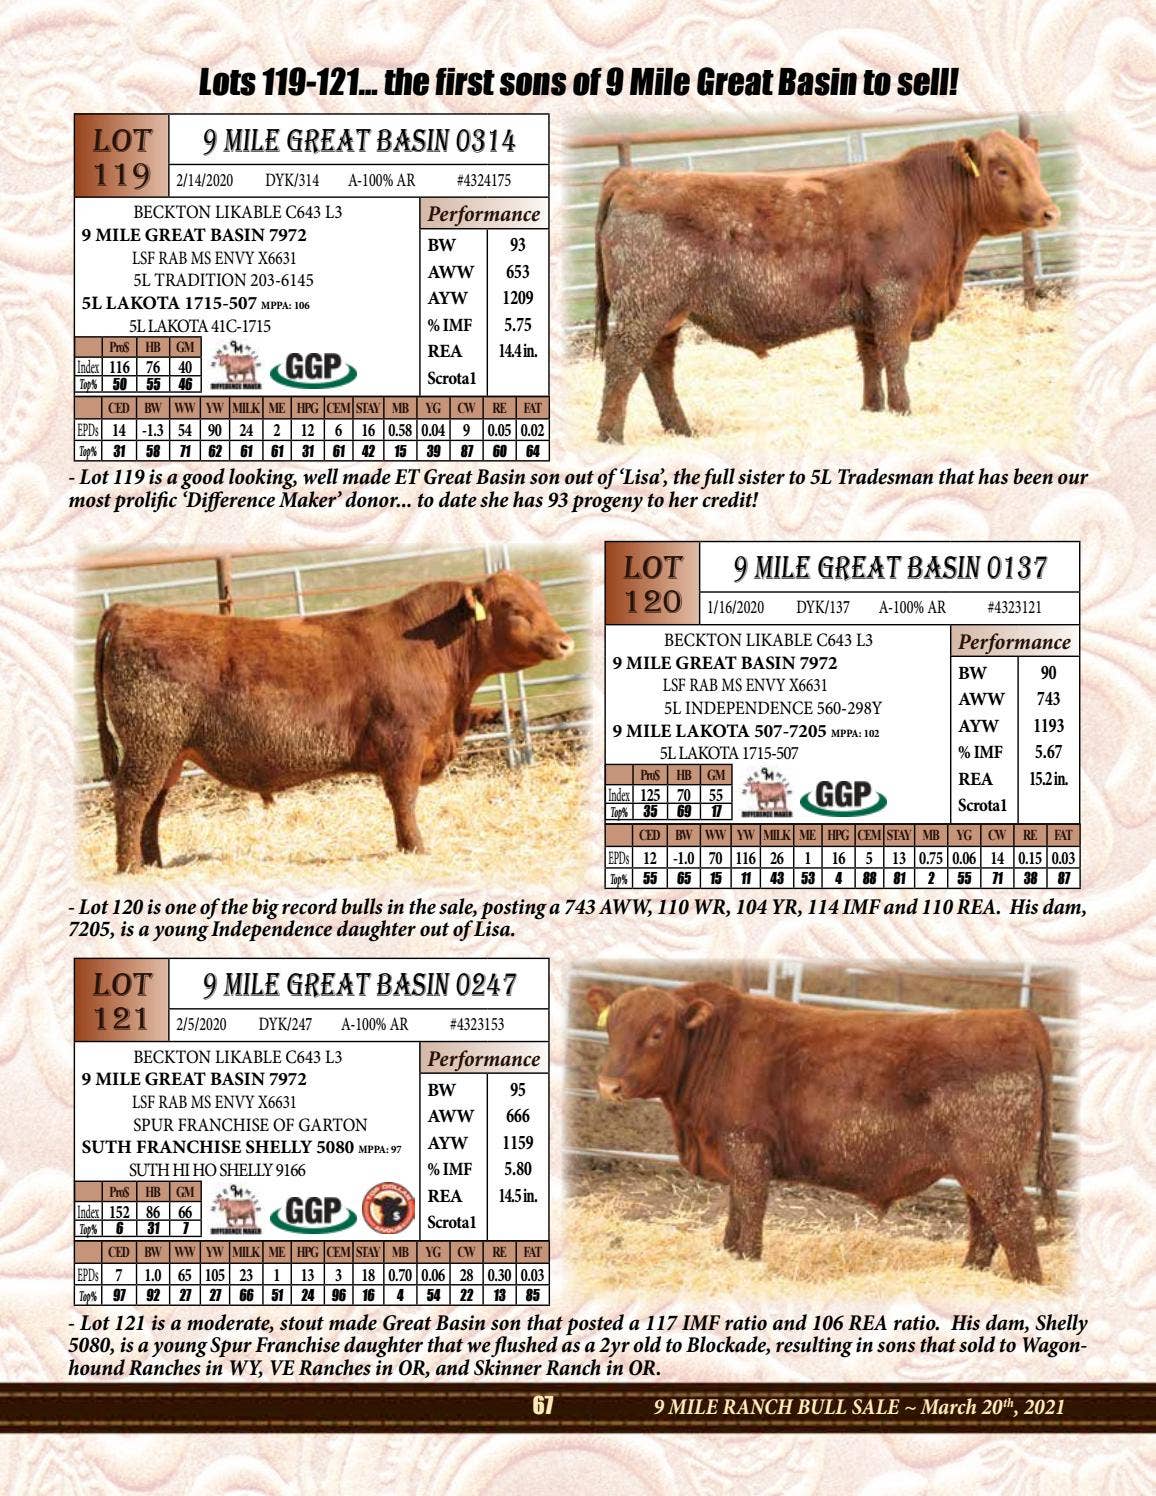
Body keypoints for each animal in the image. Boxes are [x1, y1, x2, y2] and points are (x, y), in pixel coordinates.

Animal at [94, 570, 574, 872]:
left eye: (542, 601)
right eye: (513, 608)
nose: (565, 642)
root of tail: (131, 609)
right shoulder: (403, 742)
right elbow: (403, 798)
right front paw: (415, 847)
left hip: (169, 750)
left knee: (153, 803)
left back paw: (154, 863)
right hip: (152, 742)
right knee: (133, 798)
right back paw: (131, 867)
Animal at [586, 981, 1057, 1281]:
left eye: (656, 1033)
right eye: (608, 1029)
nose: (608, 1086)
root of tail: (1018, 1018)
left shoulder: (747, 1151)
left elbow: (749, 1214)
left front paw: (747, 1262)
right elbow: (734, 1216)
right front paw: (730, 1256)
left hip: (990, 1163)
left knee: (1013, 1217)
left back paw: (1026, 1285)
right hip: (977, 1168)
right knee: (985, 1221)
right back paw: (971, 1274)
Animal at [592, 130, 1060, 442]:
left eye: (1036, 167)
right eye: (1002, 170)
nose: (1050, 212)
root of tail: (633, 177)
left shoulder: (868, 308)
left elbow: (870, 357)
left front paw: (873, 408)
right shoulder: (896, 296)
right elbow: (895, 354)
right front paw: (903, 410)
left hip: (667, 312)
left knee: (657, 365)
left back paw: (681, 430)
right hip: (646, 304)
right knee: (624, 361)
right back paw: (610, 435)